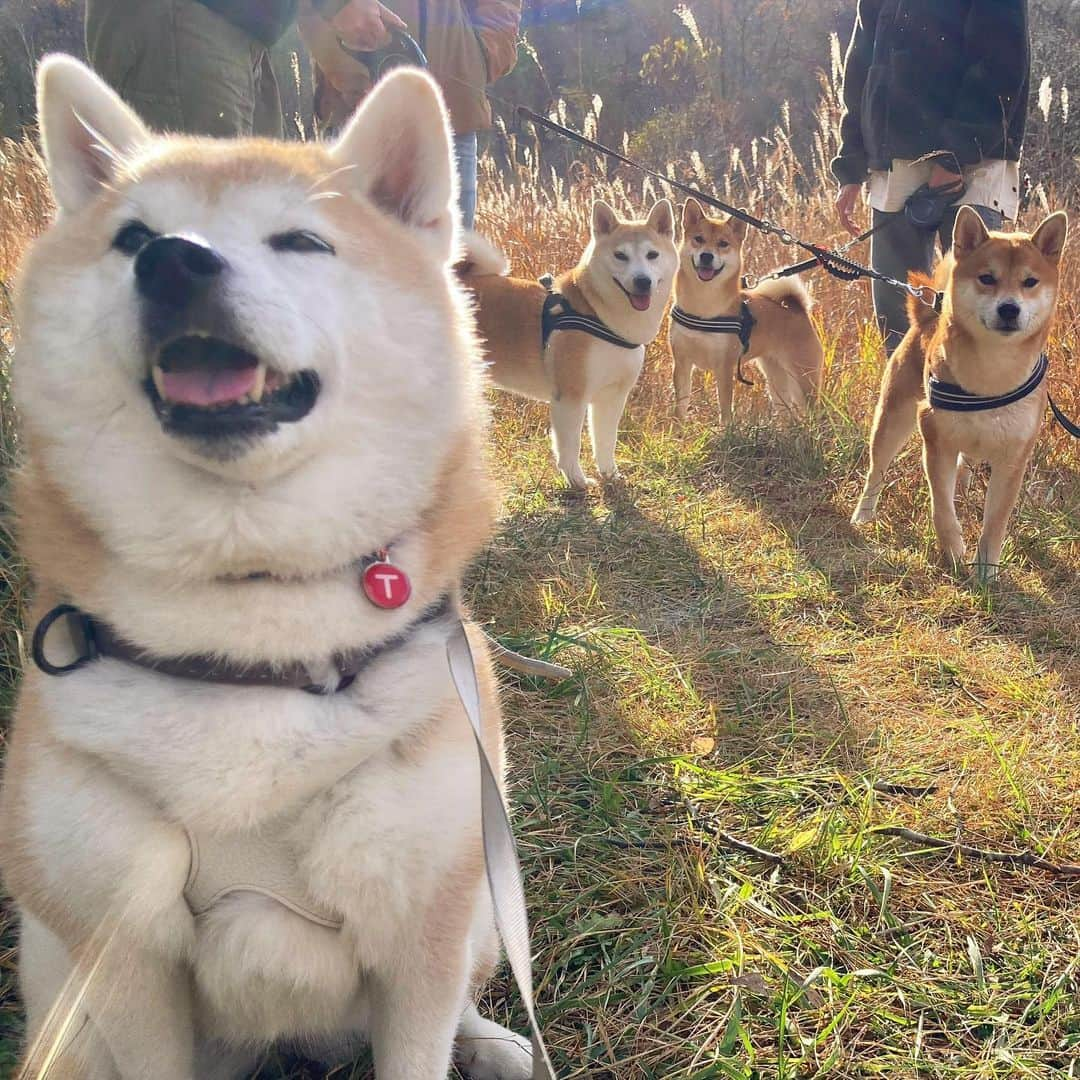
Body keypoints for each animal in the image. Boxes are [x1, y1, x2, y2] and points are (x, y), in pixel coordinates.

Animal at [2, 56, 535, 1080]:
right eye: (131, 237)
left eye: (300, 240)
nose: (173, 259)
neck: (249, 622)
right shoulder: (124, 959)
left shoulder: (422, 924)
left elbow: (423, 1026)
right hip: (58, 971)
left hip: (486, 906)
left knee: (468, 992)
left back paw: (492, 1043)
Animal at [462, 198, 673, 490]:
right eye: (621, 255)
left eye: (652, 255)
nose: (642, 281)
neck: (600, 315)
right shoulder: (571, 396)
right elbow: (570, 446)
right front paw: (576, 480)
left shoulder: (612, 396)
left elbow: (606, 441)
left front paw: (610, 474)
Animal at [665, 196, 816, 423]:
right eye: (698, 239)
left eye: (723, 244)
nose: (707, 256)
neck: (703, 306)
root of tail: (796, 308)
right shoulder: (682, 363)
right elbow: (680, 406)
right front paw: (677, 429)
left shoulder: (724, 367)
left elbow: (725, 411)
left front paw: (726, 430)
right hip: (776, 379)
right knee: (786, 413)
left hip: (804, 381)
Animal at [851, 208, 1071, 583]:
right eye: (987, 278)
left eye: (1030, 282)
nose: (1009, 309)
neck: (991, 376)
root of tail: (929, 315)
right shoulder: (936, 439)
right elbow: (941, 508)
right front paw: (953, 553)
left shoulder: (1012, 458)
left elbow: (995, 521)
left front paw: (986, 570)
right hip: (893, 419)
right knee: (877, 470)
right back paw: (864, 514)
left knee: (963, 468)